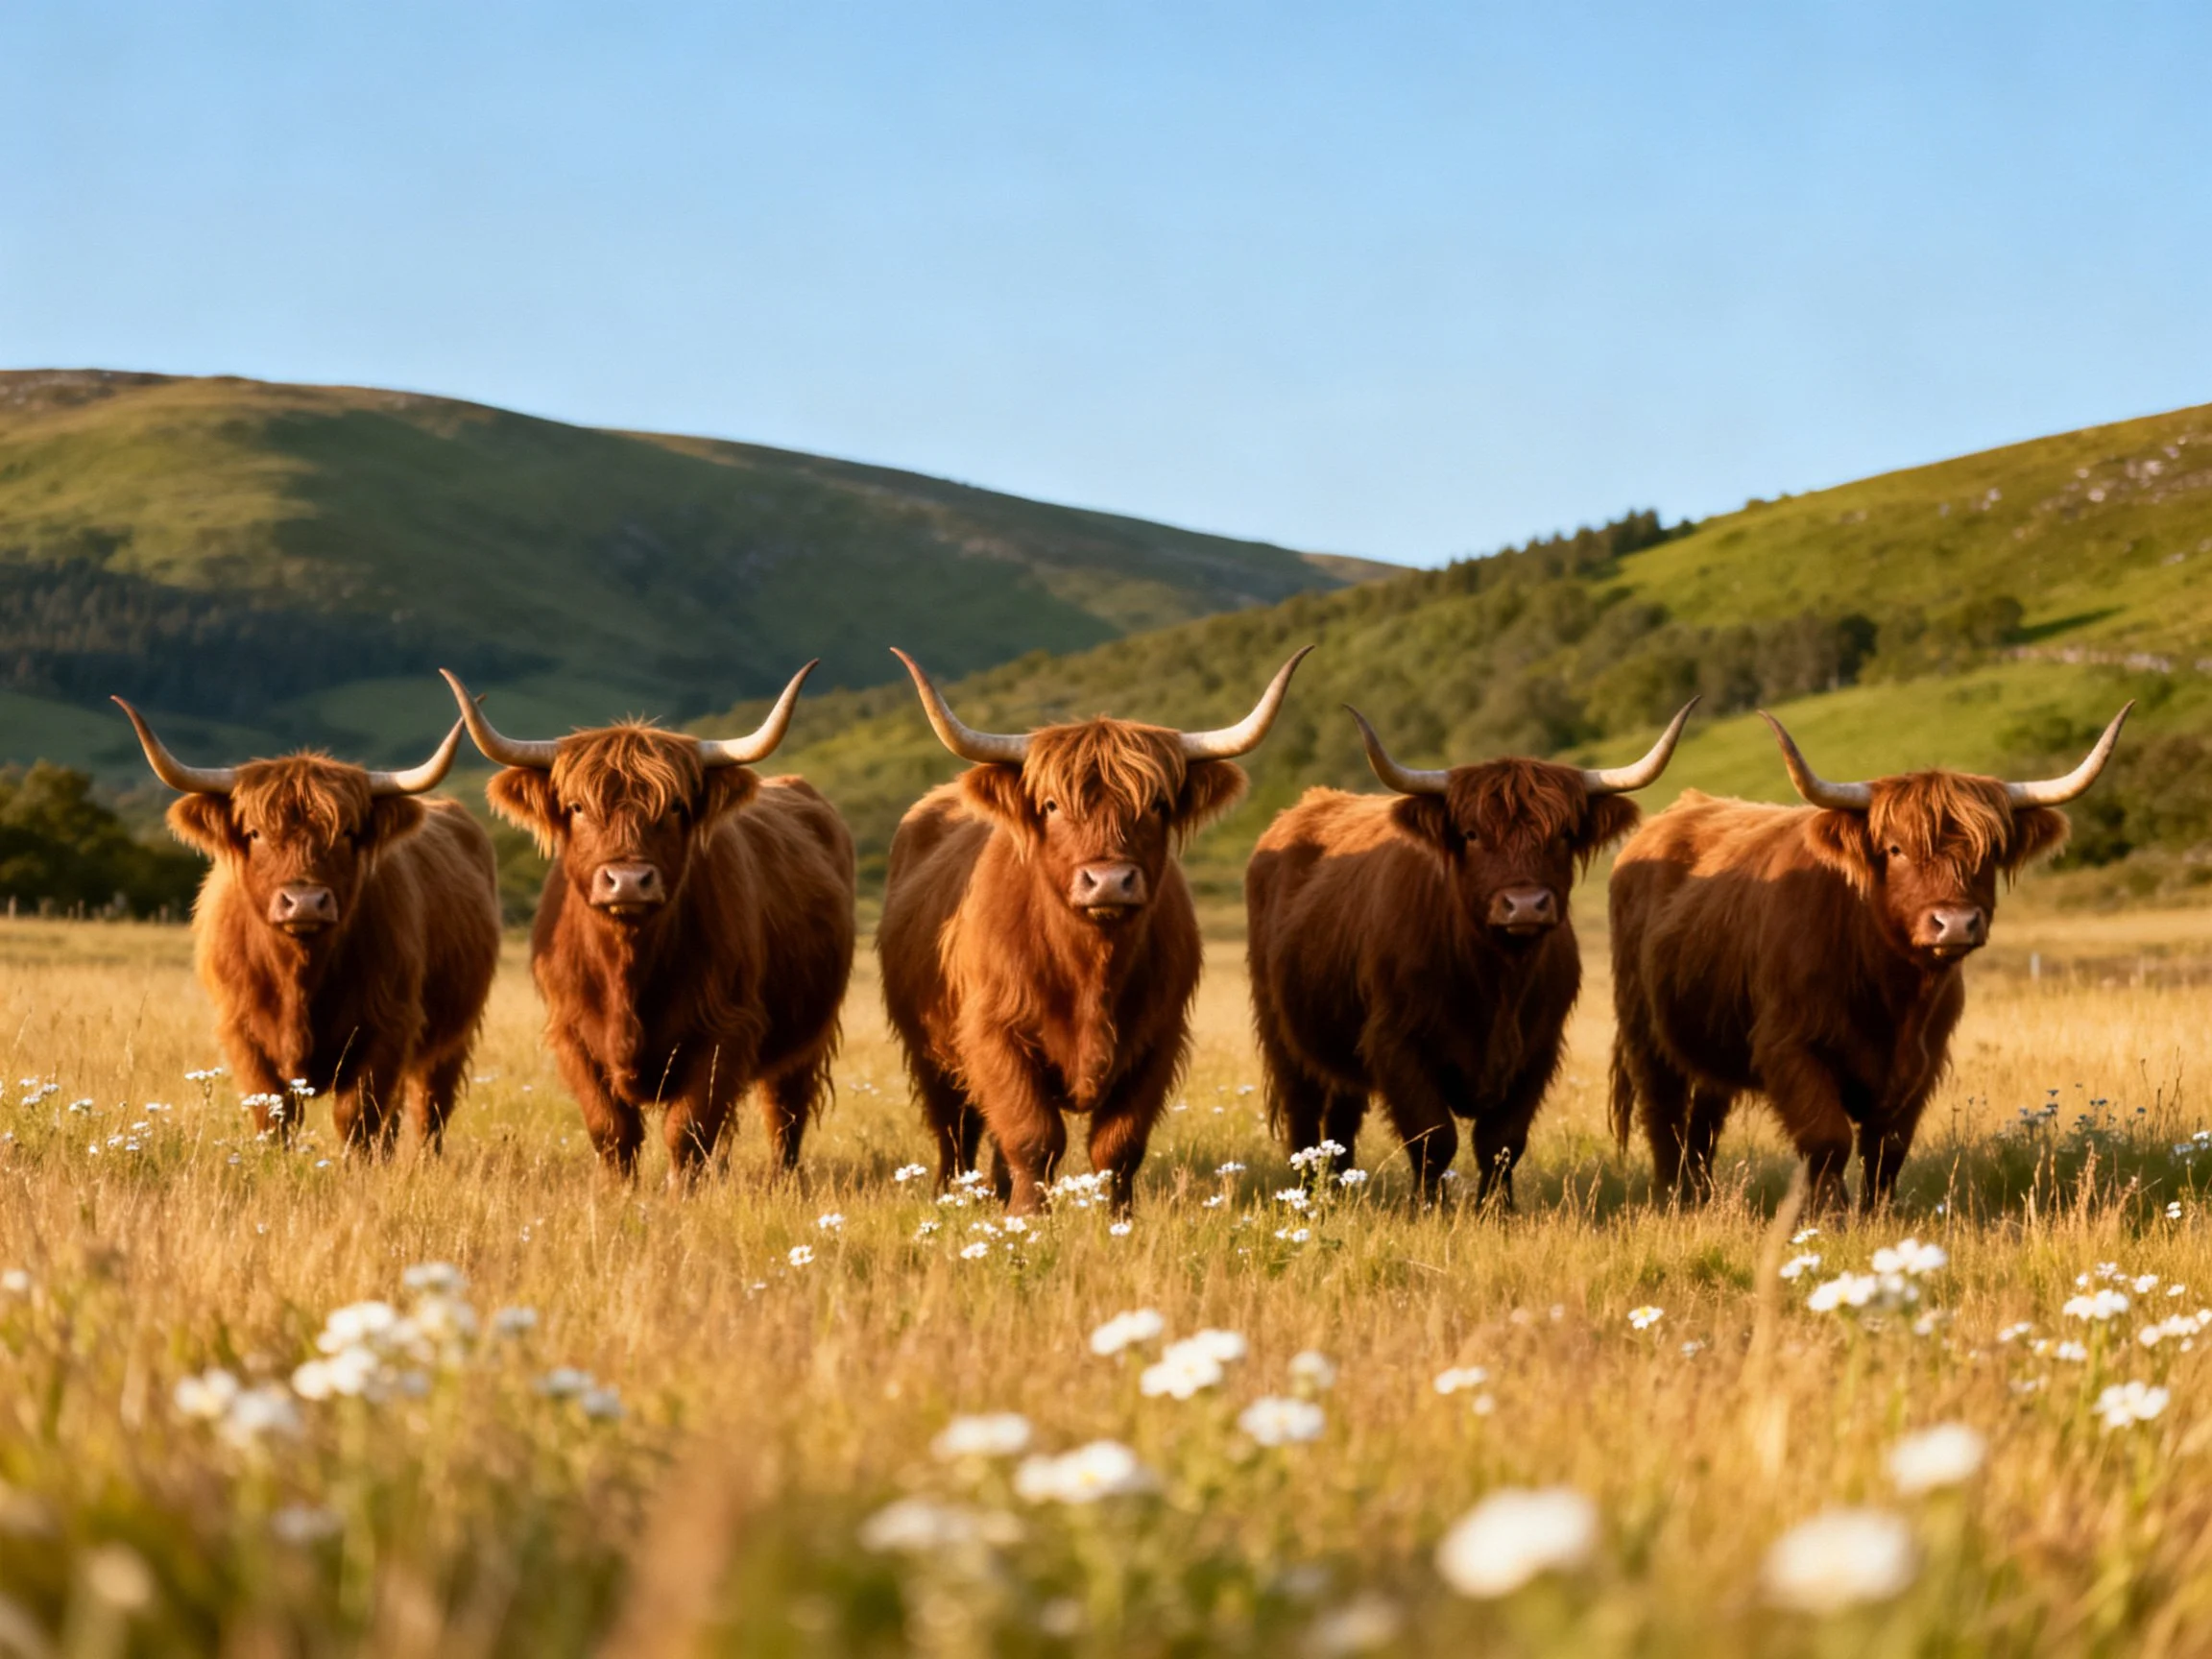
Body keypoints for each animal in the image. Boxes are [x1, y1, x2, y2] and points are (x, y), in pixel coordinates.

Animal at [114, 700, 500, 1154]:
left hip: (452, 1036)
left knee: (429, 1108)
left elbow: (358, 1120)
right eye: (255, 832)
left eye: (347, 832)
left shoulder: (388, 1028)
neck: (300, 973)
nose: (305, 902)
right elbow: (274, 1117)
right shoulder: (243, 1035)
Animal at [441, 666, 854, 1180]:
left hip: (808, 1034)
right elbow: (612, 1131)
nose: (628, 881)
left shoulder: (725, 1031)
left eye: (674, 806)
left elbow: (689, 1131)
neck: (629, 966)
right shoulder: (571, 1034)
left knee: (786, 1111)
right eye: (577, 807)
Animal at [878, 647, 1311, 1214]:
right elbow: (1032, 1135)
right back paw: (955, 1197)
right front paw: (1028, 1218)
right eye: (1051, 805)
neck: (1090, 969)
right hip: (930, 1051)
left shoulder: (1157, 1040)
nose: (1109, 881)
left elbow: (1118, 1145)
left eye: (1157, 804)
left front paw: (1116, 1218)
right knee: (955, 1130)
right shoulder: (994, 1033)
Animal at [1246, 703, 1695, 1203]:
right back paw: (1307, 1195)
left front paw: (1496, 1209)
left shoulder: (1538, 1051)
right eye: (1473, 834)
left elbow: (1501, 1142)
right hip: (1280, 1030)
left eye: (1563, 834)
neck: (1495, 981)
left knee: (1341, 1118)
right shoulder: (1396, 1044)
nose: (1525, 904)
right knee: (1302, 1114)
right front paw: (1429, 1208)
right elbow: (1433, 1137)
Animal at [1609, 706, 2130, 1211]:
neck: (1891, 991)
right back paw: (1674, 1198)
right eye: (1895, 849)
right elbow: (1828, 1139)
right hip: (1643, 1028)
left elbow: (1887, 1149)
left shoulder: (1923, 1062)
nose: (1955, 923)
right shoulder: (1790, 1047)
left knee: (1704, 1120)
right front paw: (1831, 1214)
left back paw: (1703, 1196)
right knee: (1663, 1113)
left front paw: (1875, 1214)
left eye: (1988, 852)